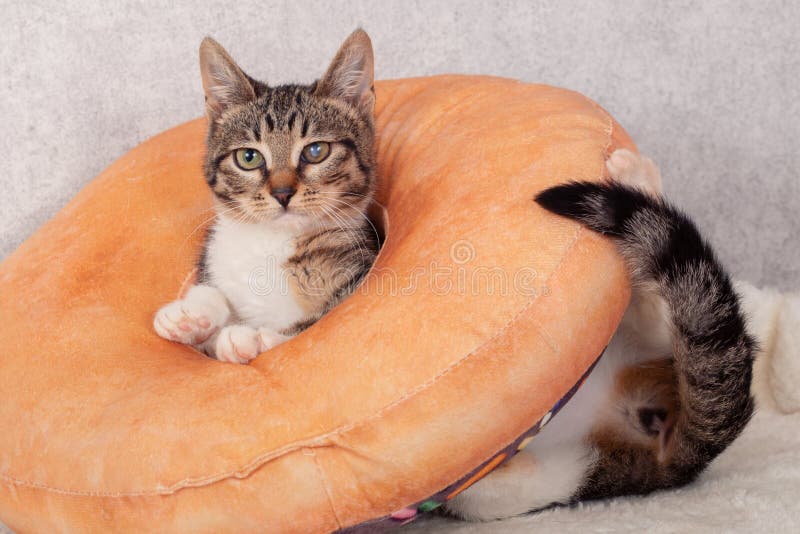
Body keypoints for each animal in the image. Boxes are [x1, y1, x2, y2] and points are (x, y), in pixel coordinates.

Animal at [158, 29, 382, 364]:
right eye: (248, 157)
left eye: (316, 151)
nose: (282, 192)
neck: (271, 241)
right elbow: (212, 293)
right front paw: (191, 314)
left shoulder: (356, 276)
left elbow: (316, 323)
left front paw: (253, 337)